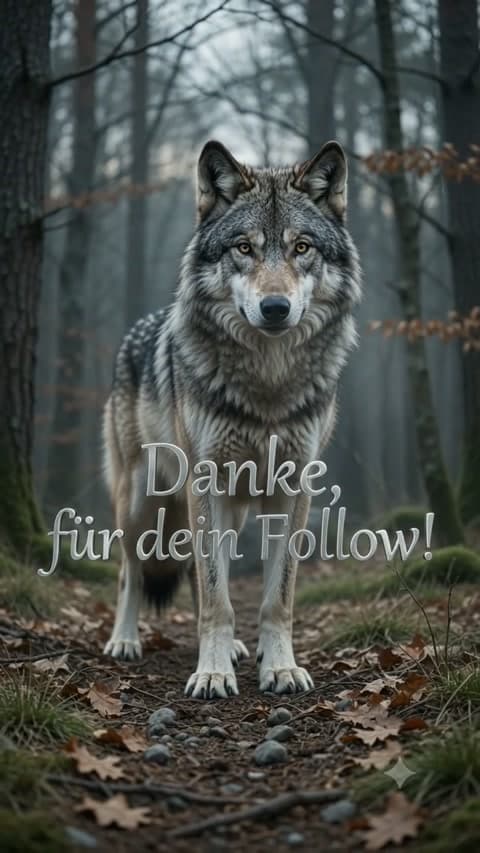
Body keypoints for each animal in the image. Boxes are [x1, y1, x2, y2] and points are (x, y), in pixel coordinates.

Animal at [103, 140, 361, 699]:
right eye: (243, 248)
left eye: (302, 247)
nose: (275, 307)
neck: (267, 384)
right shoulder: (206, 482)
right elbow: (217, 596)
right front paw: (212, 673)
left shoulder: (291, 489)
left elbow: (274, 597)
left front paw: (279, 667)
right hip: (141, 500)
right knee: (133, 571)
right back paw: (125, 641)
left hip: (234, 506)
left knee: (198, 573)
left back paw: (241, 649)